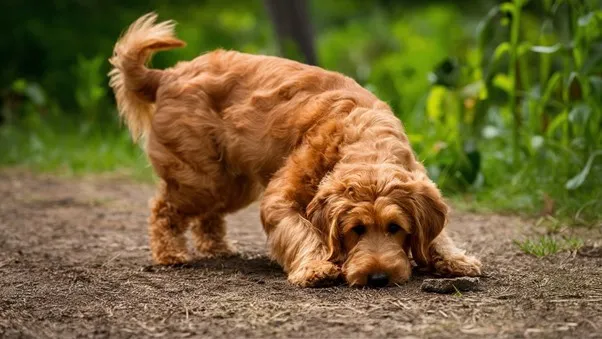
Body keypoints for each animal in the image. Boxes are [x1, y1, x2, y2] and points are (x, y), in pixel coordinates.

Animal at [110, 13, 480, 290]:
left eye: (395, 228)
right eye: (356, 230)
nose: (378, 278)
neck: (365, 140)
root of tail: (167, 75)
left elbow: (439, 234)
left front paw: (453, 258)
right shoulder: (280, 199)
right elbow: (303, 231)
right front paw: (316, 266)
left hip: (232, 183)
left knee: (208, 216)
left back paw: (217, 248)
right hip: (202, 180)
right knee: (164, 208)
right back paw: (171, 254)